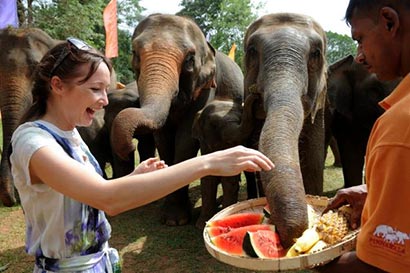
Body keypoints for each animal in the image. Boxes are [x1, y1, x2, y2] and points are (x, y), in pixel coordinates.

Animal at [109, 13, 243, 225]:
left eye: (189, 59)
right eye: (134, 53)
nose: (129, 147)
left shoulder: (205, 89)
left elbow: (185, 140)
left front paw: (176, 220)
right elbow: (162, 139)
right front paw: (171, 217)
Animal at [192, 91, 262, 227]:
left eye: (240, 120)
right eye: (214, 124)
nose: (255, 95)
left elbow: (229, 181)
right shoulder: (205, 147)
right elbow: (207, 180)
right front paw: (201, 224)